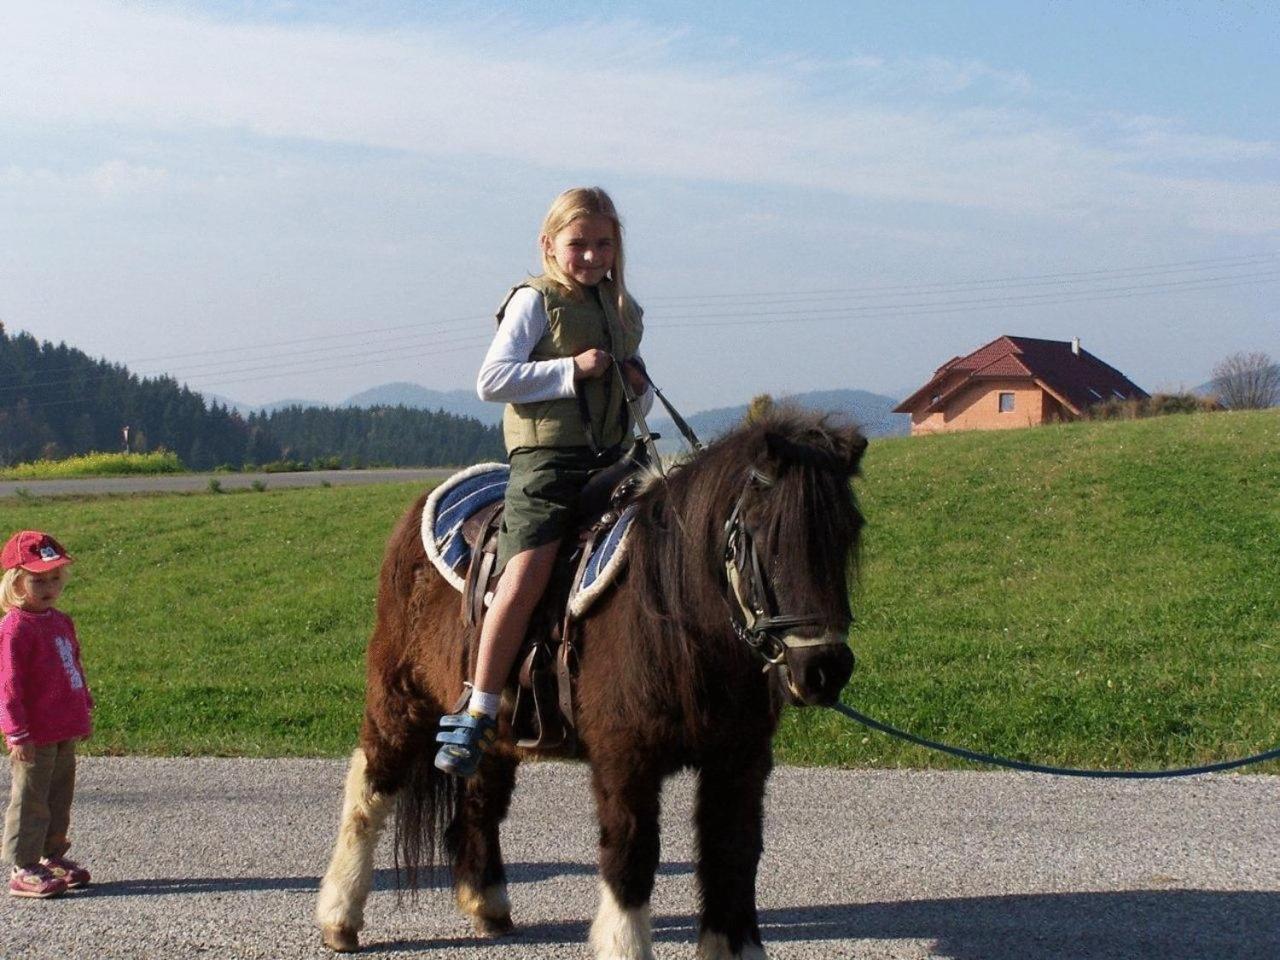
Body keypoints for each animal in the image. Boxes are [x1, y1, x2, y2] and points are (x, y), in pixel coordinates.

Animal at [314, 412, 865, 960]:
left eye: (847, 532)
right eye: (763, 534)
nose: (824, 669)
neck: (672, 612)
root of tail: (418, 511)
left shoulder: (740, 761)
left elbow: (733, 854)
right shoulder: (626, 758)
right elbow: (630, 852)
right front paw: (623, 943)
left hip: (496, 727)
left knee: (480, 798)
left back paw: (487, 904)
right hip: (399, 695)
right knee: (370, 788)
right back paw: (340, 917)